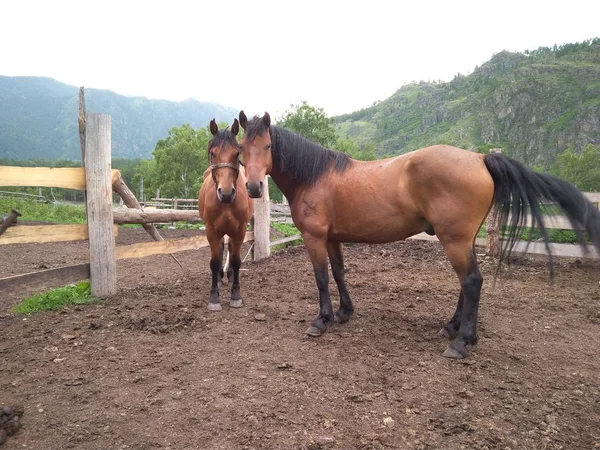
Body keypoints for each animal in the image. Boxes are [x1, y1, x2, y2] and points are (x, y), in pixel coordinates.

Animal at [198, 118, 252, 312]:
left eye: (236, 154)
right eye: (213, 153)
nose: (226, 193)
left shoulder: (240, 230)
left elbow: (236, 260)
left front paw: (236, 295)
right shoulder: (211, 230)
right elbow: (214, 261)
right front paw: (214, 298)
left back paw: (229, 277)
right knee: (221, 249)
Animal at [237, 111, 596, 358]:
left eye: (267, 146)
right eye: (242, 149)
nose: (253, 188)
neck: (315, 176)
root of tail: (480, 158)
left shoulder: (315, 238)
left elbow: (321, 277)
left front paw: (321, 320)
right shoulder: (334, 238)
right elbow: (339, 273)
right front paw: (343, 313)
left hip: (454, 240)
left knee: (471, 281)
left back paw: (462, 342)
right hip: (462, 240)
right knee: (467, 282)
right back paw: (452, 327)